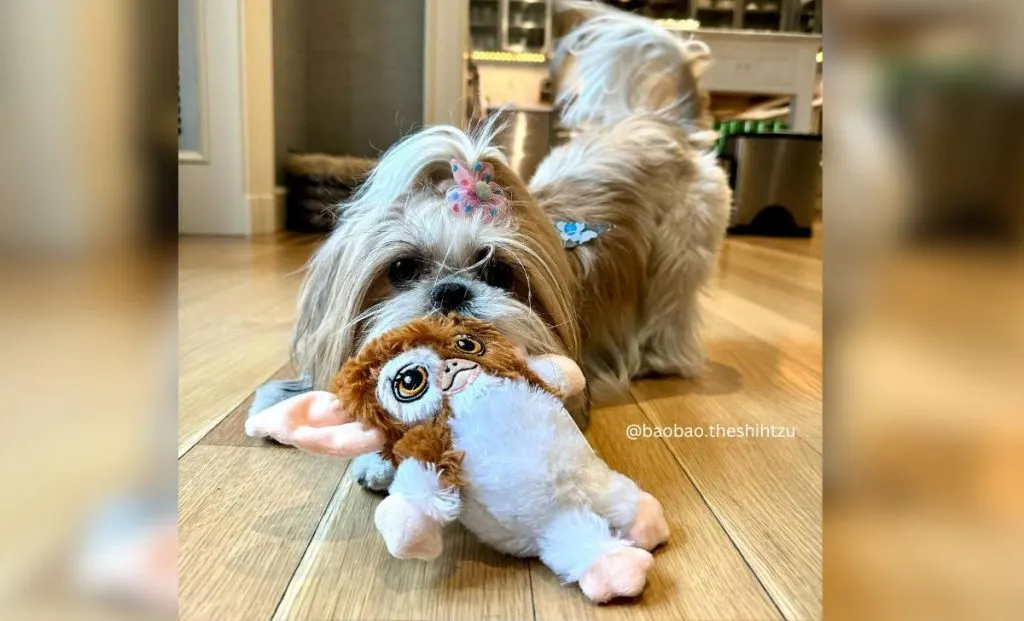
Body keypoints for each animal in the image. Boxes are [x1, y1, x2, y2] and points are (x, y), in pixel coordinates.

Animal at [288, 2, 733, 491]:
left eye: (499, 272)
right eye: (402, 269)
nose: (451, 290)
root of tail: (670, 126)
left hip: (682, 253)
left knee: (672, 312)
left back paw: (658, 359)